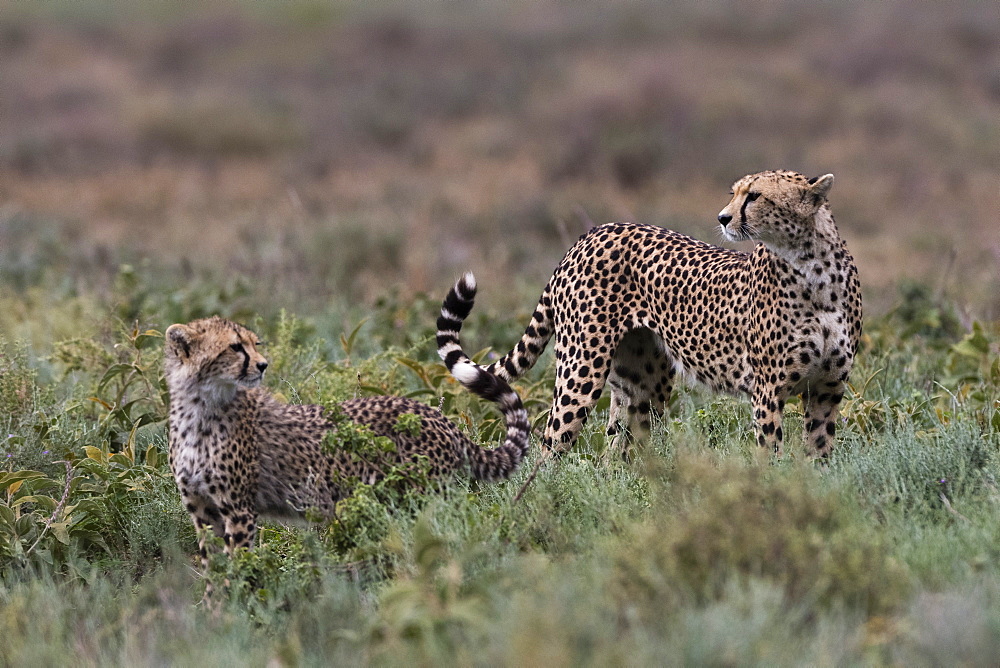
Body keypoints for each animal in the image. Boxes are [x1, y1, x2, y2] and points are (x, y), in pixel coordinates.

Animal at [164, 316, 532, 572]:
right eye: (234, 347)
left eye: (254, 344)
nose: (263, 364)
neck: (200, 406)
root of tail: (440, 418)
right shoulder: (204, 510)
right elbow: (213, 568)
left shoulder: (238, 509)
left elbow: (236, 567)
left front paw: (236, 608)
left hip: (421, 498)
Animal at [442, 170, 864, 456]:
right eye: (734, 193)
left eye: (755, 196)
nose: (723, 218)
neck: (812, 267)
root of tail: (593, 232)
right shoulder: (768, 392)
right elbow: (771, 454)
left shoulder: (827, 389)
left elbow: (819, 453)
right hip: (582, 368)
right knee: (551, 445)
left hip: (644, 383)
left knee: (619, 450)